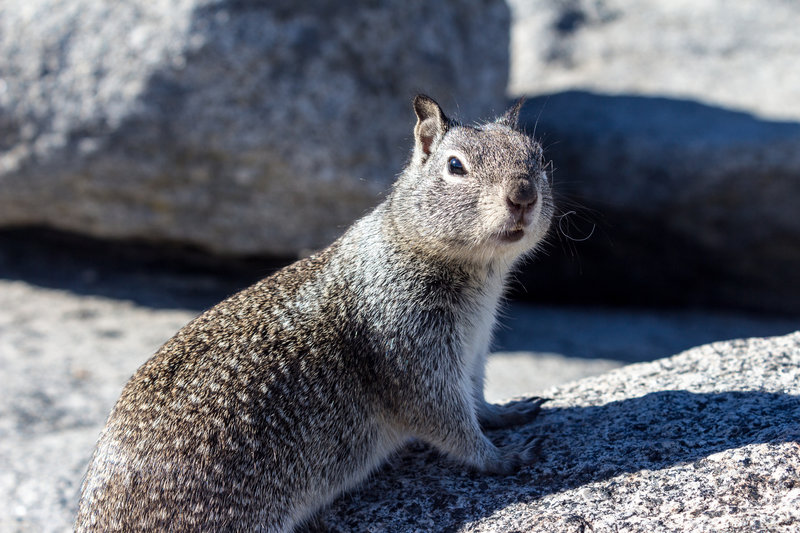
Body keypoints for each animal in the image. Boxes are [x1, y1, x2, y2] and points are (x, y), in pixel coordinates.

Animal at [73, 96, 552, 532]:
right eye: (455, 166)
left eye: (539, 157)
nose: (523, 195)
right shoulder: (409, 351)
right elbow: (448, 421)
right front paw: (503, 457)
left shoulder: (474, 350)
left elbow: (478, 398)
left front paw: (509, 412)